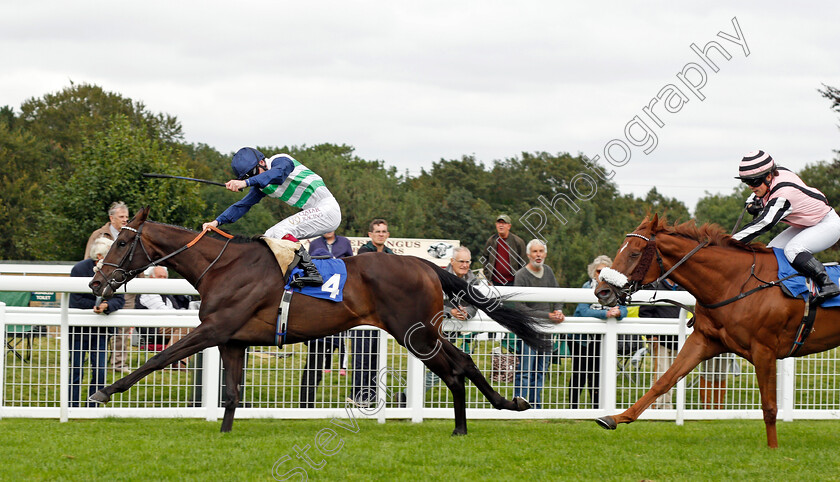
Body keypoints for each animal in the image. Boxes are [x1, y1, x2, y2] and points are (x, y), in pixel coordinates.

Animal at [88, 206, 548, 434]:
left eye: (124, 242)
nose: (95, 281)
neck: (223, 265)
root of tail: (424, 264)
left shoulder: (214, 329)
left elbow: (157, 359)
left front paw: (103, 393)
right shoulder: (233, 339)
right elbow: (232, 393)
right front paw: (225, 434)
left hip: (413, 334)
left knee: (454, 370)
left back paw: (463, 427)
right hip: (421, 332)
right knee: (464, 362)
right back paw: (505, 405)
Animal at [592, 215, 840, 448]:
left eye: (634, 253)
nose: (602, 291)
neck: (735, 283)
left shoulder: (765, 350)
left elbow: (769, 406)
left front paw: (773, 449)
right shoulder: (704, 340)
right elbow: (664, 380)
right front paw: (615, 418)